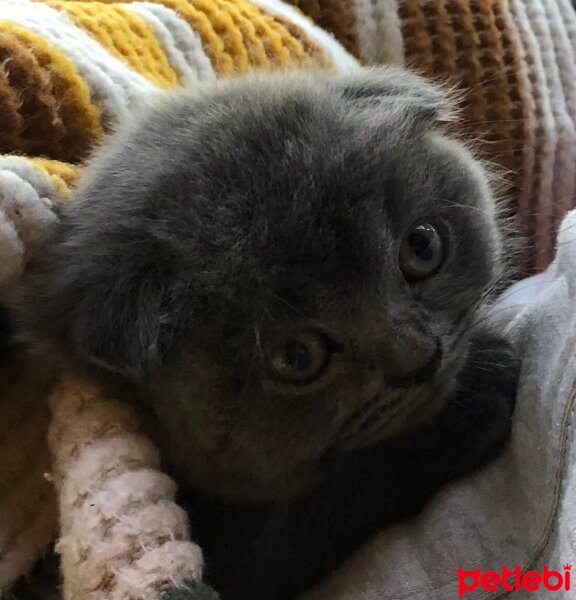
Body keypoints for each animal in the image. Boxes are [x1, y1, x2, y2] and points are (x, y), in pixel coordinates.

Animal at [20, 68, 520, 600]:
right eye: (299, 357)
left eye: (422, 247)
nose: (422, 357)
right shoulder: (245, 561)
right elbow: (338, 501)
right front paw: (482, 389)